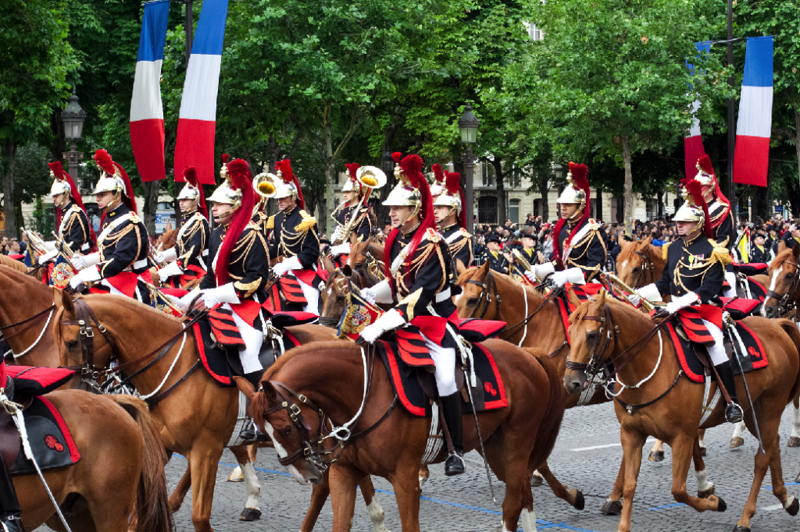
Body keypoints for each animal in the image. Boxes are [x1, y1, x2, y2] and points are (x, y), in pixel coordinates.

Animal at [244, 336, 564, 532]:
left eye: (285, 428)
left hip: (516, 445)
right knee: (523, 493)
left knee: (512, 504)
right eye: (263, 431)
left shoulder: (405, 479)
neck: (365, 394)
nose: (304, 476)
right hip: (498, 452)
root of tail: (527, 353)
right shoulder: (344, 474)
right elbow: (340, 523)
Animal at [564, 290, 800, 532]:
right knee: (773, 446)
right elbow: (630, 485)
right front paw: (622, 523)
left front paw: (714, 501)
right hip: (754, 413)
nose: (571, 382)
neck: (647, 366)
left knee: (762, 458)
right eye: (569, 332)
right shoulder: (632, 434)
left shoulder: (682, 438)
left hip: (770, 409)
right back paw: (787, 500)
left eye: (592, 335)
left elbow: (678, 490)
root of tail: (777, 325)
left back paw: (745, 518)